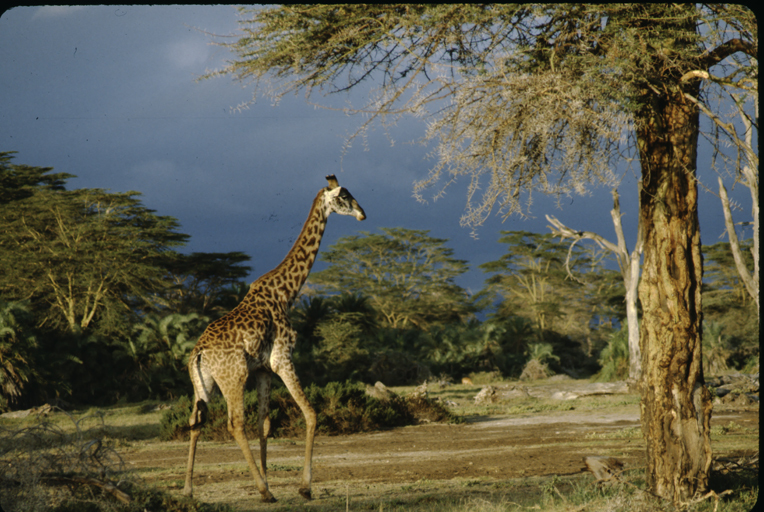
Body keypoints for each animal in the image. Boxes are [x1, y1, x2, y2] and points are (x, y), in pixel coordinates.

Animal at [184, 174, 366, 502]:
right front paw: (304, 487)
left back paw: (188, 489)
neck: (286, 293)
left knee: (196, 423)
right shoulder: (283, 359)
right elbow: (311, 414)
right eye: (344, 196)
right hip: (233, 377)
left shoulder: (263, 370)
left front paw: (270, 479)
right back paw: (263, 491)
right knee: (235, 423)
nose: (363, 214)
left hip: (203, 384)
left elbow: (264, 424)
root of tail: (198, 353)